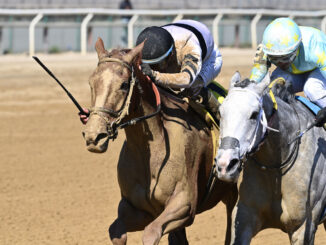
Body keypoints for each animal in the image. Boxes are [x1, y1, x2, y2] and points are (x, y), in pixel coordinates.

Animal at [83, 37, 237, 244]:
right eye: (91, 82)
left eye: (123, 84)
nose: (94, 136)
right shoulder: (137, 209)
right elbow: (115, 231)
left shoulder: (184, 204)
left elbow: (151, 233)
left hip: (234, 194)